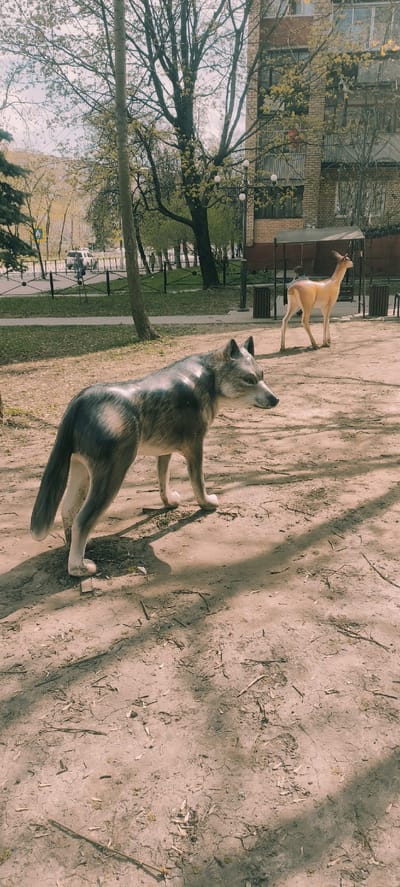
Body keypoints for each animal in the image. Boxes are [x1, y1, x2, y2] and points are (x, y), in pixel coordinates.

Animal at [31, 337, 279, 576]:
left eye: (262, 376)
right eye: (249, 379)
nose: (275, 399)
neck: (208, 378)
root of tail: (79, 402)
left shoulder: (164, 450)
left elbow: (163, 481)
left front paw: (169, 502)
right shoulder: (195, 448)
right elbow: (198, 483)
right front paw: (207, 504)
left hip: (80, 468)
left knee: (68, 509)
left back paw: (77, 548)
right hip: (111, 472)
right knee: (83, 519)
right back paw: (78, 568)